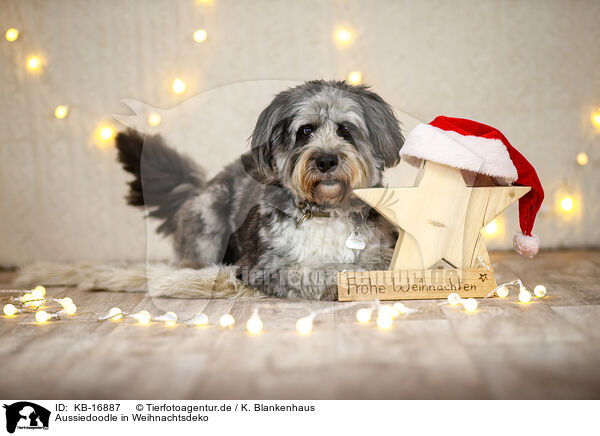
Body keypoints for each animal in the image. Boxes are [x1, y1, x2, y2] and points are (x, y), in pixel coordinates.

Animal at [115, 80, 406, 300]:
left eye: (345, 129)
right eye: (305, 131)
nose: (326, 161)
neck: (325, 211)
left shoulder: (382, 251)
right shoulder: (267, 265)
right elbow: (318, 271)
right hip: (209, 217)